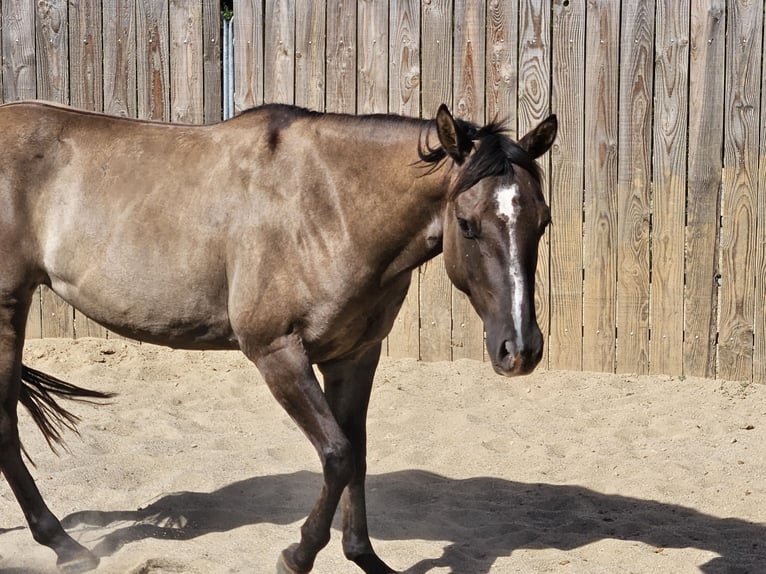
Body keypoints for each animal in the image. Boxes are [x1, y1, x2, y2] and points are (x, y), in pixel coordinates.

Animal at [0, 99, 556, 573]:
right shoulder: (277, 353)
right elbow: (337, 455)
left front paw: (363, 556)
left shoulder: (355, 357)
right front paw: (298, 554)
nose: (520, 350)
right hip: (7, 311)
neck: (329, 206)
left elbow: (357, 453)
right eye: (466, 223)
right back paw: (64, 545)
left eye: (542, 221)